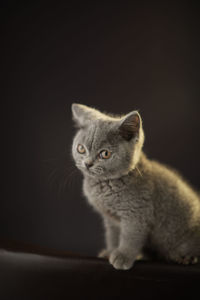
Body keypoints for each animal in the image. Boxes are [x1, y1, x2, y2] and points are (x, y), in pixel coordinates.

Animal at [71, 103, 200, 270]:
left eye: (105, 154)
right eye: (81, 149)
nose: (87, 163)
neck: (105, 186)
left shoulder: (137, 213)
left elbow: (130, 237)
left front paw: (122, 257)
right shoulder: (111, 219)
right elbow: (113, 236)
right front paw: (110, 252)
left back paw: (186, 258)